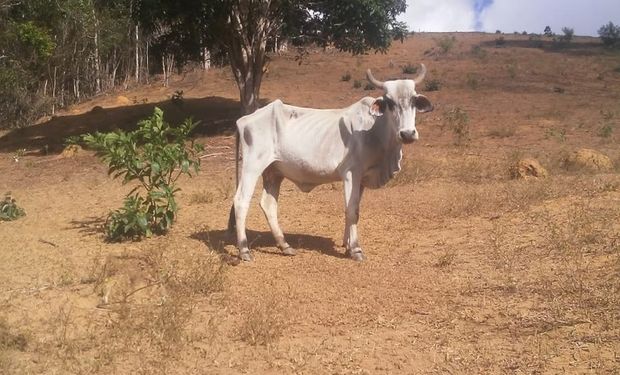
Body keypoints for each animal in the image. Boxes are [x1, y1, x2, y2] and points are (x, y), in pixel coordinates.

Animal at [226, 64, 432, 262]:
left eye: (414, 100)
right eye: (390, 102)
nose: (407, 134)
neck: (373, 131)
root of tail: (244, 119)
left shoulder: (361, 179)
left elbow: (355, 209)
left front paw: (347, 245)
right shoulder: (351, 173)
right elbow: (352, 210)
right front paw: (355, 249)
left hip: (273, 172)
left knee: (268, 204)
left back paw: (285, 246)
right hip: (252, 166)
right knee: (241, 201)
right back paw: (244, 250)